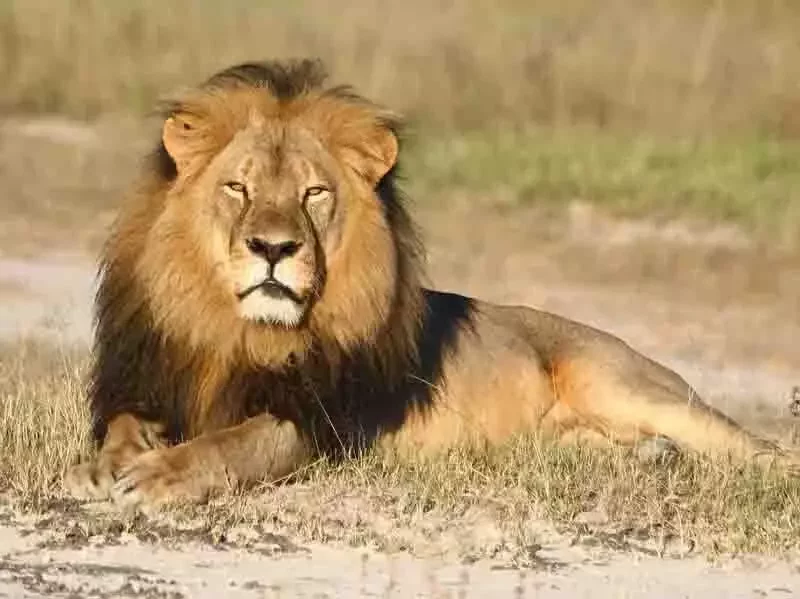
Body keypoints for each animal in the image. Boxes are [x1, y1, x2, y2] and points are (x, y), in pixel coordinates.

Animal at [64, 59, 798, 510]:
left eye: (313, 194)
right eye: (237, 188)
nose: (274, 248)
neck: (237, 331)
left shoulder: (323, 423)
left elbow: (234, 442)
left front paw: (159, 475)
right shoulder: (149, 380)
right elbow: (123, 423)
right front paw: (106, 464)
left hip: (625, 382)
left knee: (757, 448)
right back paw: (654, 459)